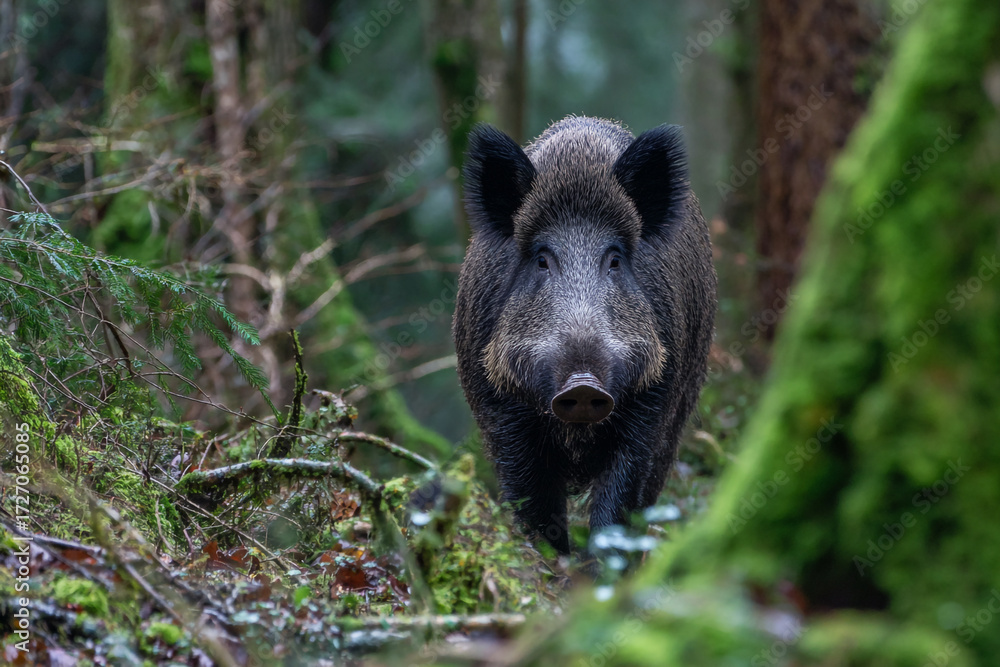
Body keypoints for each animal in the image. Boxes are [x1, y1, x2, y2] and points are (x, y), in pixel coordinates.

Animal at [453, 116, 717, 554]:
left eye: (614, 259)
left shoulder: (654, 402)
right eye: (542, 259)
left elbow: (620, 502)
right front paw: (551, 562)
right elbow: (534, 504)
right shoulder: (501, 409)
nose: (582, 384)